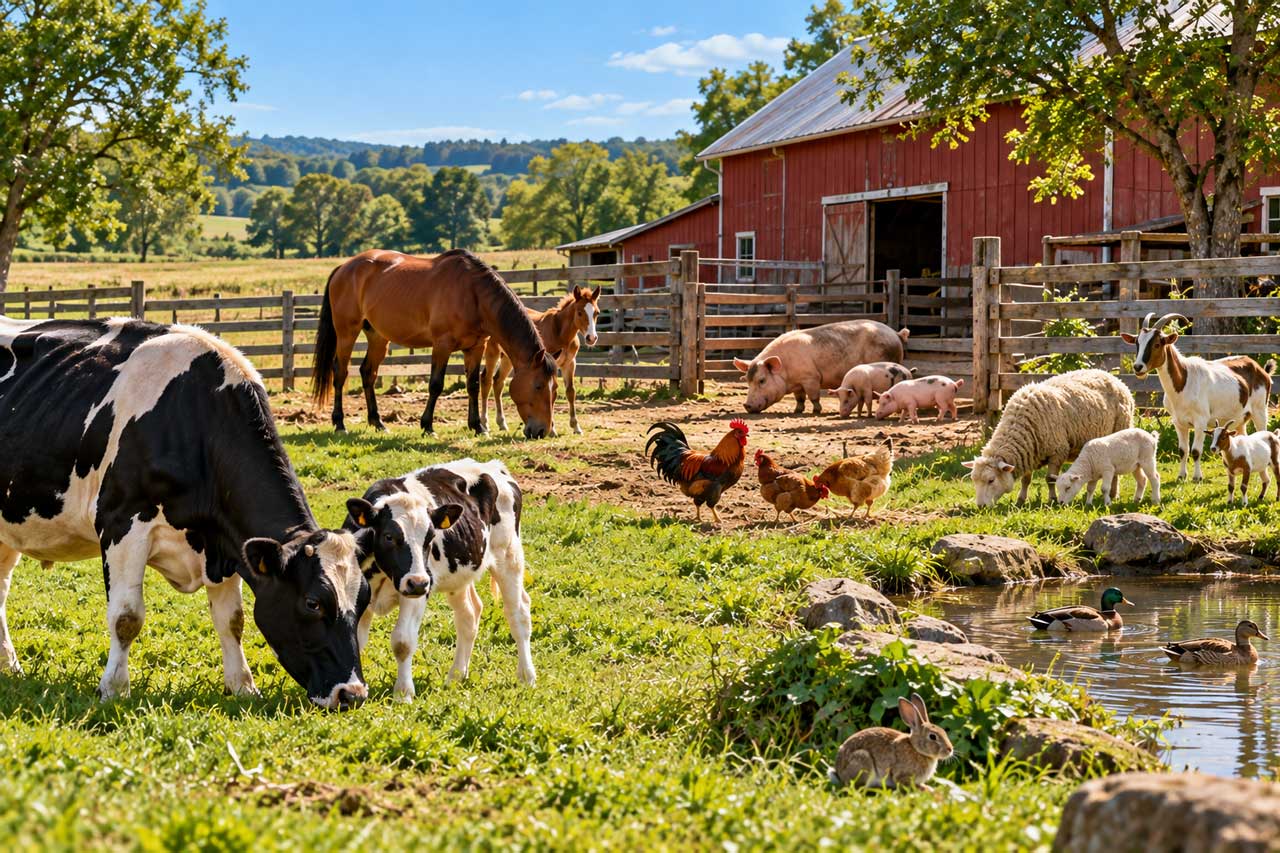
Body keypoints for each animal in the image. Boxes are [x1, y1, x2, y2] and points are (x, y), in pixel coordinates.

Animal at [0, 316, 371, 709]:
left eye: (363, 599)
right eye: (313, 602)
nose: (352, 693)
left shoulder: (224, 541)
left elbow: (232, 619)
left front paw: (242, 685)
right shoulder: (122, 524)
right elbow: (126, 617)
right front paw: (114, 689)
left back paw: (10, 666)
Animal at [345, 458, 533, 700]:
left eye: (430, 537)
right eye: (388, 536)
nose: (417, 582)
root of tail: (494, 466)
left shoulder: (417, 593)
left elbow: (403, 641)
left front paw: (403, 694)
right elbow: (355, 640)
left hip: (508, 556)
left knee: (519, 613)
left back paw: (527, 676)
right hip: (459, 576)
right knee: (469, 616)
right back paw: (456, 676)